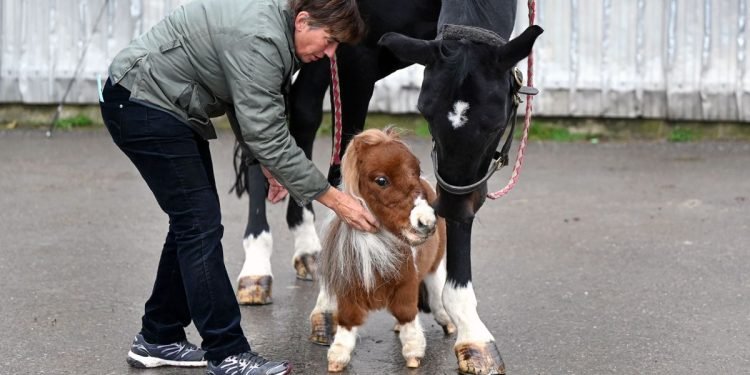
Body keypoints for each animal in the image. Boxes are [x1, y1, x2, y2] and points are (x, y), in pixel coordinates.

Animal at [308, 129, 456, 374]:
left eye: (416, 170)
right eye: (381, 181)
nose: (426, 222)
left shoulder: (407, 284)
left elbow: (407, 313)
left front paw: (413, 354)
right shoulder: (348, 289)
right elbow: (347, 320)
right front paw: (337, 358)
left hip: (435, 265)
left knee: (436, 294)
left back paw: (448, 323)